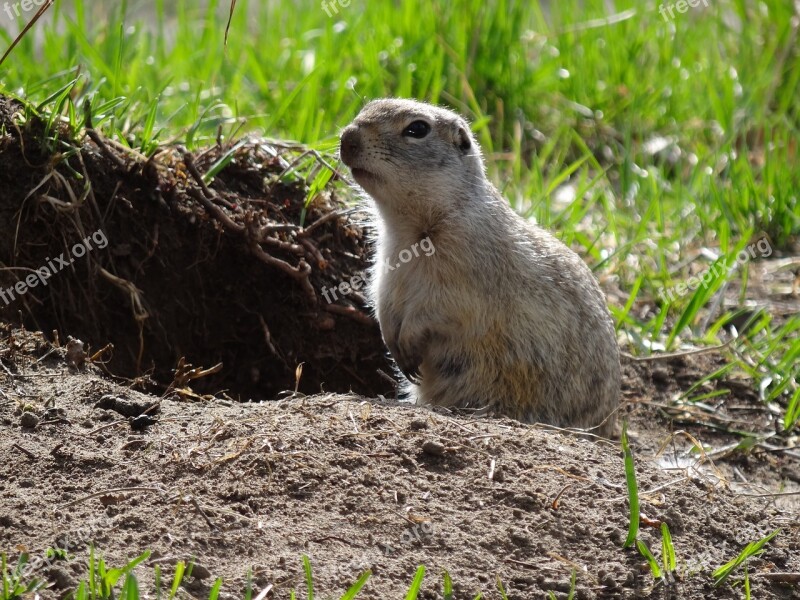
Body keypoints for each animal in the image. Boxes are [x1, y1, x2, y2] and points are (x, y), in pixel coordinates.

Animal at [338, 97, 620, 436]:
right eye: (368, 106)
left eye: (417, 128)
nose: (346, 139)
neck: (411, 228)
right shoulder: (387, 269)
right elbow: (383, 304)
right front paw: (393, 343)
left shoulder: (465, 277)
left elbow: (440, 310)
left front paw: (408, 345)